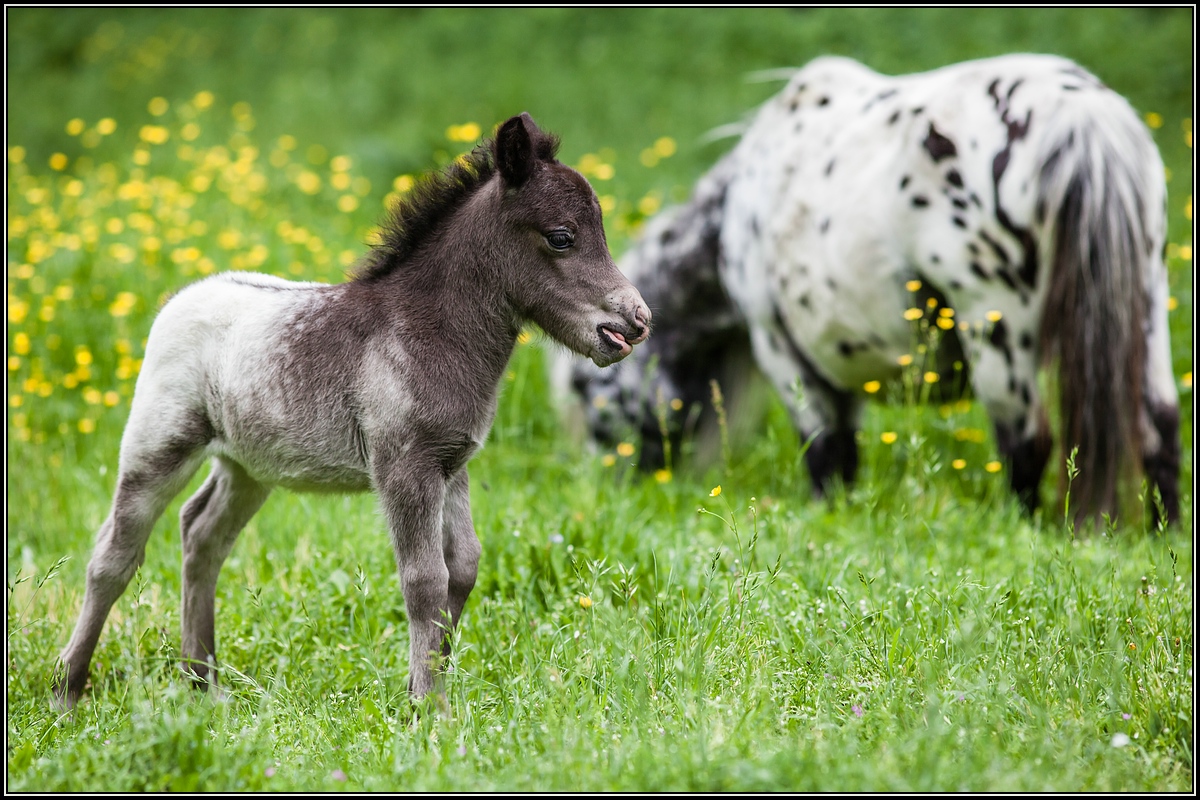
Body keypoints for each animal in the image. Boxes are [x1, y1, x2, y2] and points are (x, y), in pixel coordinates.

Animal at [56, 110, 652, 705]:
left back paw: (204, 681)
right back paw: (68, 687)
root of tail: (184, 296)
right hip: (159, 444)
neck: (428, 329)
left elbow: (462, 567)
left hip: (248, 466)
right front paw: (430, 707)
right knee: (114, 555)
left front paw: (423, 687)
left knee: (202, 535)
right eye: (562, 237)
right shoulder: (405, 466)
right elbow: (425, 579)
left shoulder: (450, 464)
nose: (636, 321)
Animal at [564, 51, 1180, 525]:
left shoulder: (784, 352)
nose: (599, 487)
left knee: (1029, 444)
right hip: (1145, 310)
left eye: (585, 388)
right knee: (1159, 430)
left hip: (997, 331)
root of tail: (1083, 117)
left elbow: (827, 457)